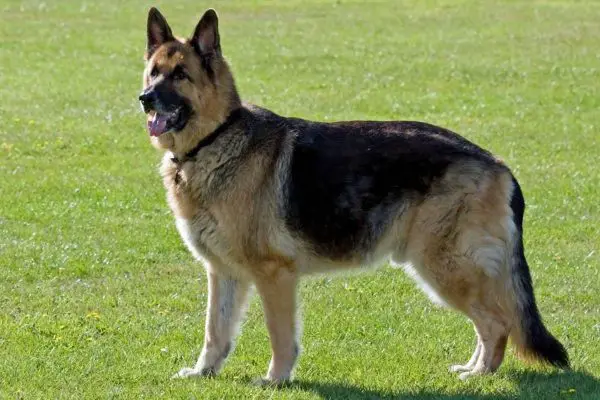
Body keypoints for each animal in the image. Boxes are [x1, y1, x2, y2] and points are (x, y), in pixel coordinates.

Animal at [138, 7, 568, 384]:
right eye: (154, 72)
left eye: (181, 75)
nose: (145, 99)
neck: (215, 139)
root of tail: (497, 162)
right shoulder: (223, 273)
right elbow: (216, 331)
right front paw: (204, 372)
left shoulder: (274, 275)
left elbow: (280, 336)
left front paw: (276, 380)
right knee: (491, 323)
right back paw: (473, 367)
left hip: (444, 267)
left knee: (498, 322)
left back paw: (480, 375)